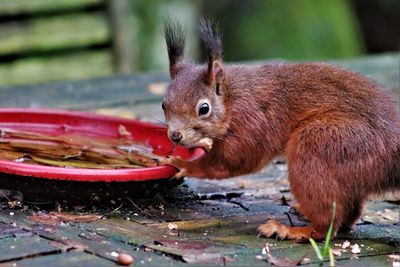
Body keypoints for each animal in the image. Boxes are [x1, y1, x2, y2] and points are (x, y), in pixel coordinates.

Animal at [159, 17, 400, 242]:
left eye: (204, 108)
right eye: (163, 104)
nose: (175, 135)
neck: (232, 98)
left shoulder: (251, 122)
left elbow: (233, 162)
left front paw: (184, 164)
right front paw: (201, 143)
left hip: (323, 145)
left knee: (327, 225)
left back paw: (291, 230)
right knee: (348, 213)